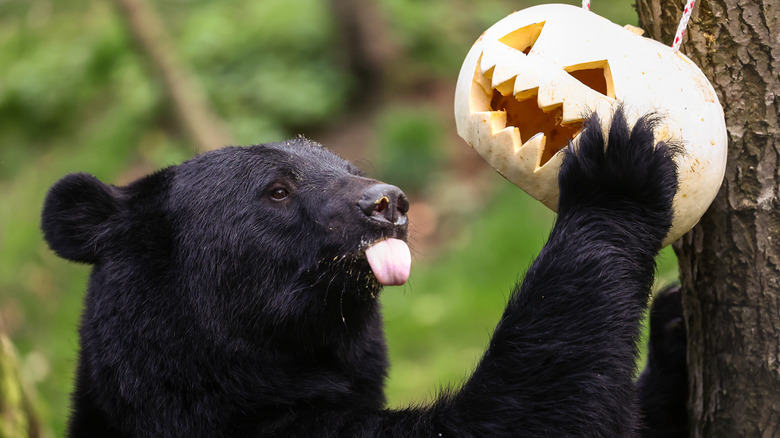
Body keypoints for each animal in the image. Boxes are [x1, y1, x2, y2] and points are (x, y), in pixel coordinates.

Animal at [42, 108, 685, 437]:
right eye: (277, 190)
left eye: (348, 167)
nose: (389, 203)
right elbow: (520, 419)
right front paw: (615, 172)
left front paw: (675, 321)